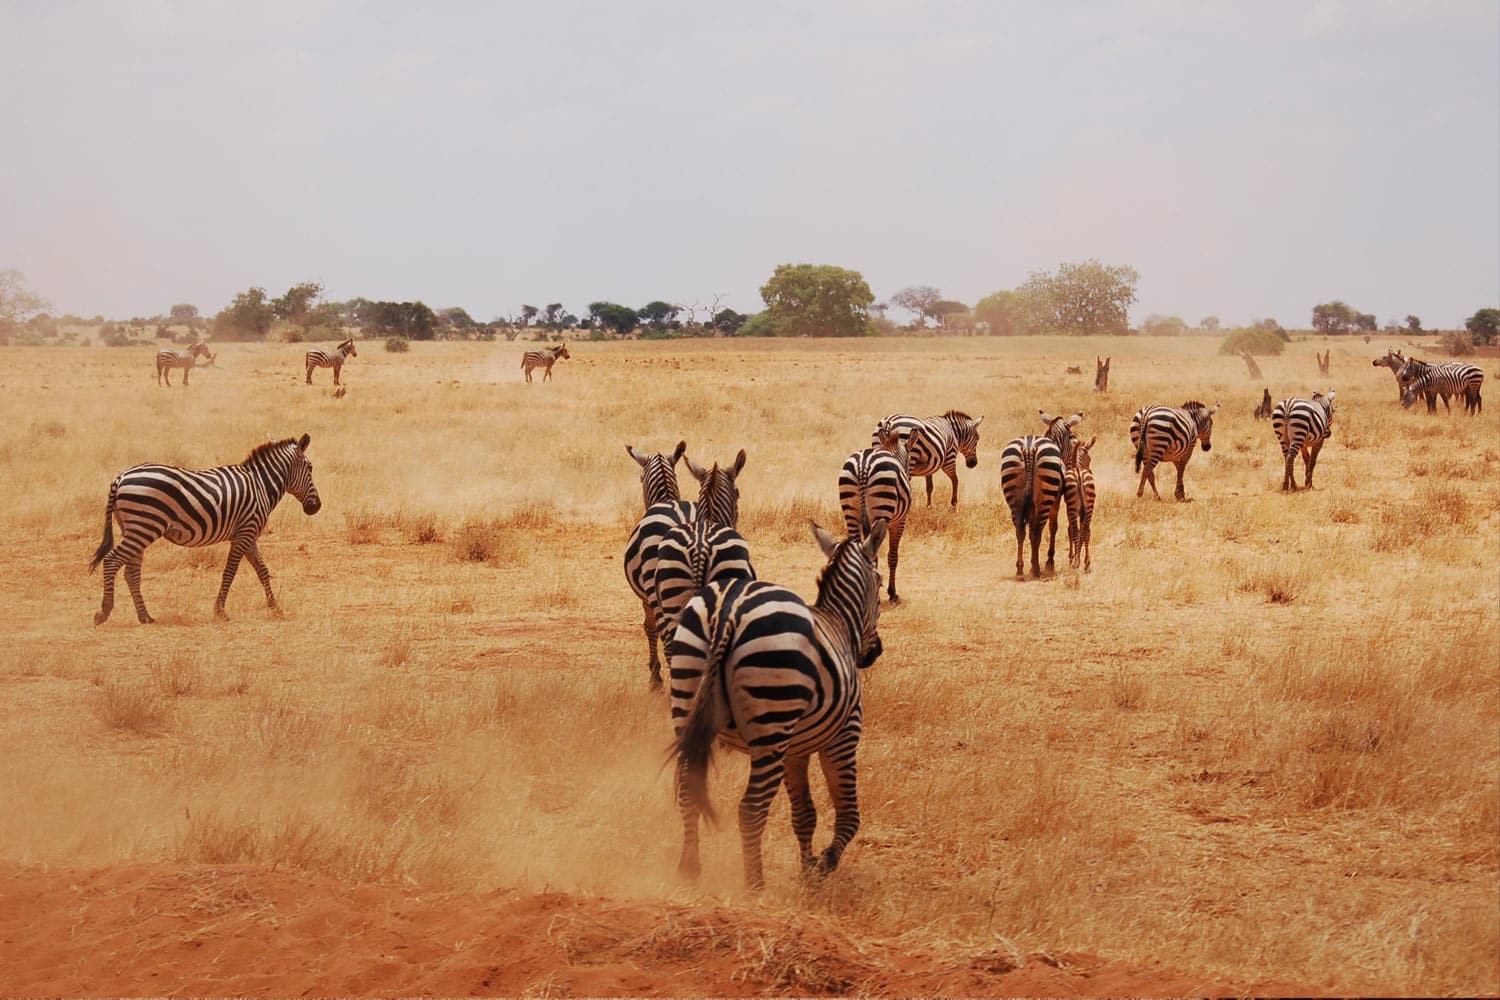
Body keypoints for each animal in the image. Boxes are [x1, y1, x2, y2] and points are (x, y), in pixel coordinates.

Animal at [90, 434, 319, 626]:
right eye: (310, 468)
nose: (316, 507)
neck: (260, 484)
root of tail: (120, 477)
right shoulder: (245, 532)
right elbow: (230, 572)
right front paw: (220, 611)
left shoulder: (248, 533)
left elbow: (262, 570)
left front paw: (275, 607)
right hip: (144, 526)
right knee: (112, 560)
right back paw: (104, 612)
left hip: (136, 528)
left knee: (131, 572)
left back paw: (145, 616)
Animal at [672, 521, 888, 887]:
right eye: (881, 581)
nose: (875, 652)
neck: (840, 622)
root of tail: (729, 609)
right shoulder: (844, 736)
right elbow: (849, 815)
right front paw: (823, 864)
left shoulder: (795, 751)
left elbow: (804, 814)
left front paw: (807, 867)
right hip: (770, 727)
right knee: (751, 809)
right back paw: (755, 885)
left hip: (686, 694)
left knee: (689, 789)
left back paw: (689, 870)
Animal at [840, 425, 906, 599]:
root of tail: (863, 465)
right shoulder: (899, 522)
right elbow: (893, 556)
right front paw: (892, 593)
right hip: (881, 510)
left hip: (850, 510)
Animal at [1062, 434, 1098, 569]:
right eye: (1090, 459)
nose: (1091, 470)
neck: (1077, 465)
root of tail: (1078, 473)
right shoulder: (1083, 511)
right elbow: (1082, 531)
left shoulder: (1068, 509)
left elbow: (1071, 531)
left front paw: (1072, 557)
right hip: (1090, 506)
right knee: (1087, 530)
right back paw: (1087, 563)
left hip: (1072, 508)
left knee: (1074, 530)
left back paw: (1076, 562)